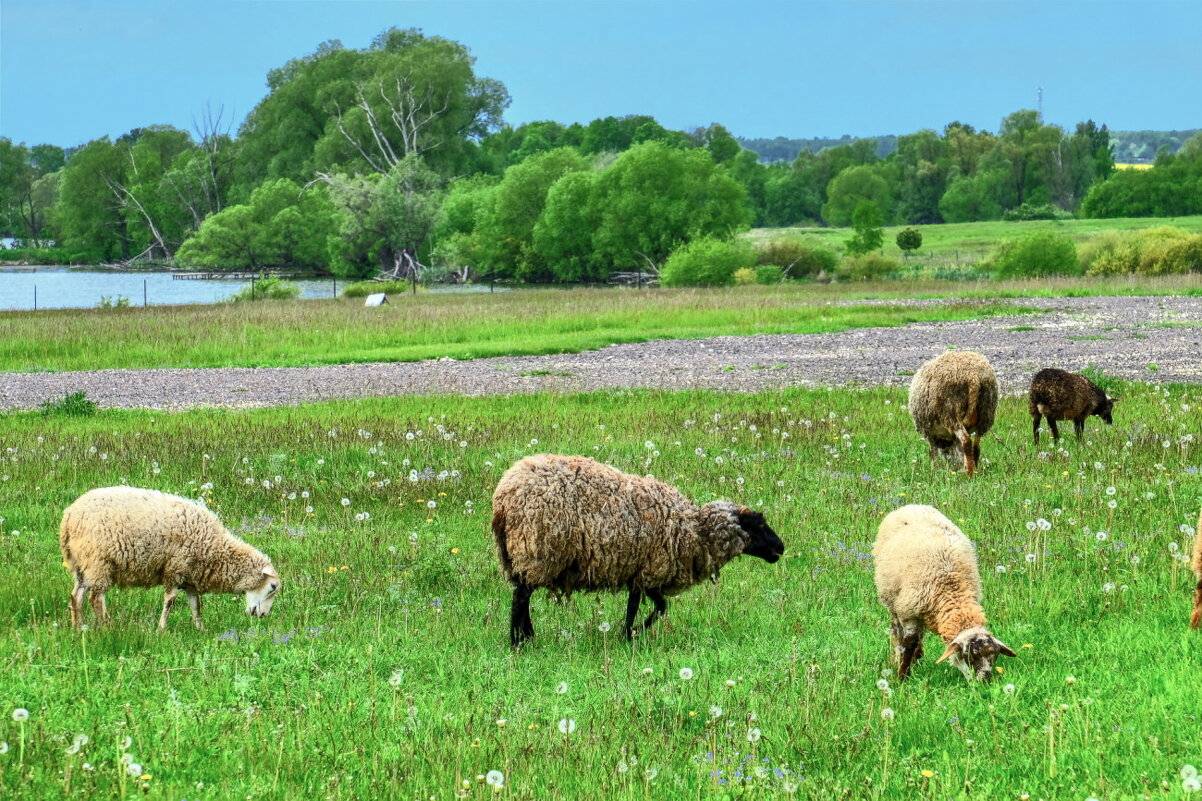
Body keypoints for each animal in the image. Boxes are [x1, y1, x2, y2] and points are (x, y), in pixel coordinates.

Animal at [59, 483, 280, 625]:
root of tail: (70, 516)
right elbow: (170, 602)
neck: (216, 550)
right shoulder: (175, 569)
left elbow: (196, 607)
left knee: (76, 596)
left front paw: (200, 630)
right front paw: (161, 629)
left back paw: (78, 628)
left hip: (81, 564)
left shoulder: (190, 578)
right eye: (273, 587)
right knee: (96, 598)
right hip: (99, 561)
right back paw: (107, 627)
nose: (263, 616)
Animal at [490, 452, 783, 644]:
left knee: (521, 595)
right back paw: (518, 641)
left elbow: (651, 606)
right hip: (536, 551)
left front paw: (630, 632)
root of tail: (503, 496)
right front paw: (631, 634)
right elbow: (649, 607)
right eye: (758, 524)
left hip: (521, 556)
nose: (780, 548)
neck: (695, 533)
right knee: (521, 598)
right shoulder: (652, 569)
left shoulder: (642, 573)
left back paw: (526, 636)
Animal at [875, 502, 1014, 678]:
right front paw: (902, 676)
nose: (985, 681)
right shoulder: (909, 612)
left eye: (994, 657)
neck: (950, 586)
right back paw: (897, 658)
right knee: (896, 630)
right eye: (968, 656)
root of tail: (912, 505)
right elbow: (909, 643)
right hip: (893, 601)